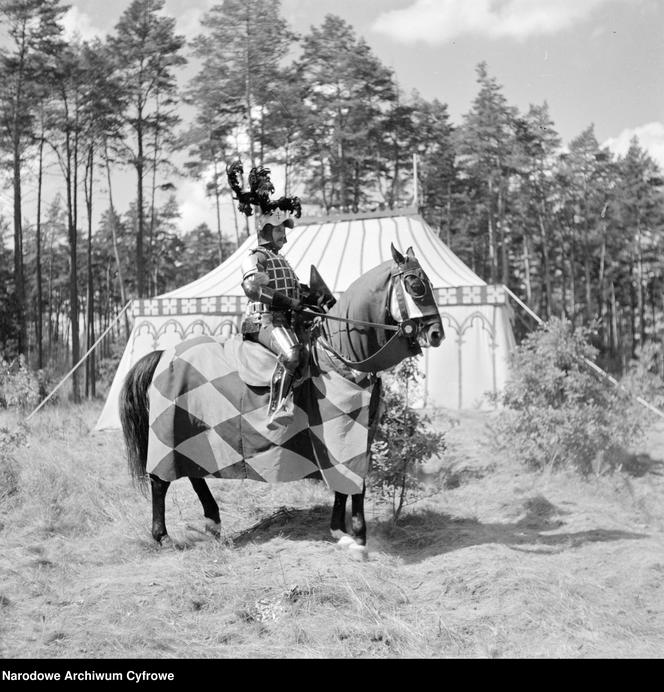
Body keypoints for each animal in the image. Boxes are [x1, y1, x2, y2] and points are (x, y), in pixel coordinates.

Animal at [120, 243, 440, 556]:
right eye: (415, 285)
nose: (436, 333)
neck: (340, 354)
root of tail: (163, 354)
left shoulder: (361, 432)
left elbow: (347, 481)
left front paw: (341, 531)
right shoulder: (345, 431)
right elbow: (354, 481)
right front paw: (358, 538)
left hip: (190, 436)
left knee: (193, 475)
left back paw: (213, 522)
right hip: (170, 434)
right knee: (160, 480)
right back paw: (162, 536)